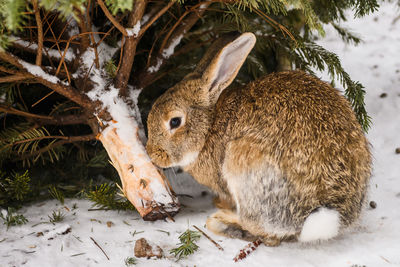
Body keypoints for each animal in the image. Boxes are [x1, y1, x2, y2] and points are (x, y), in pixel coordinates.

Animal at [145, 32, 370, 246]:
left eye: (175, 122)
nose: (152, 153)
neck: (210, 126)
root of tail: (326, 208)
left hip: (243, 166)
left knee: (264, 230)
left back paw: (221, 221)